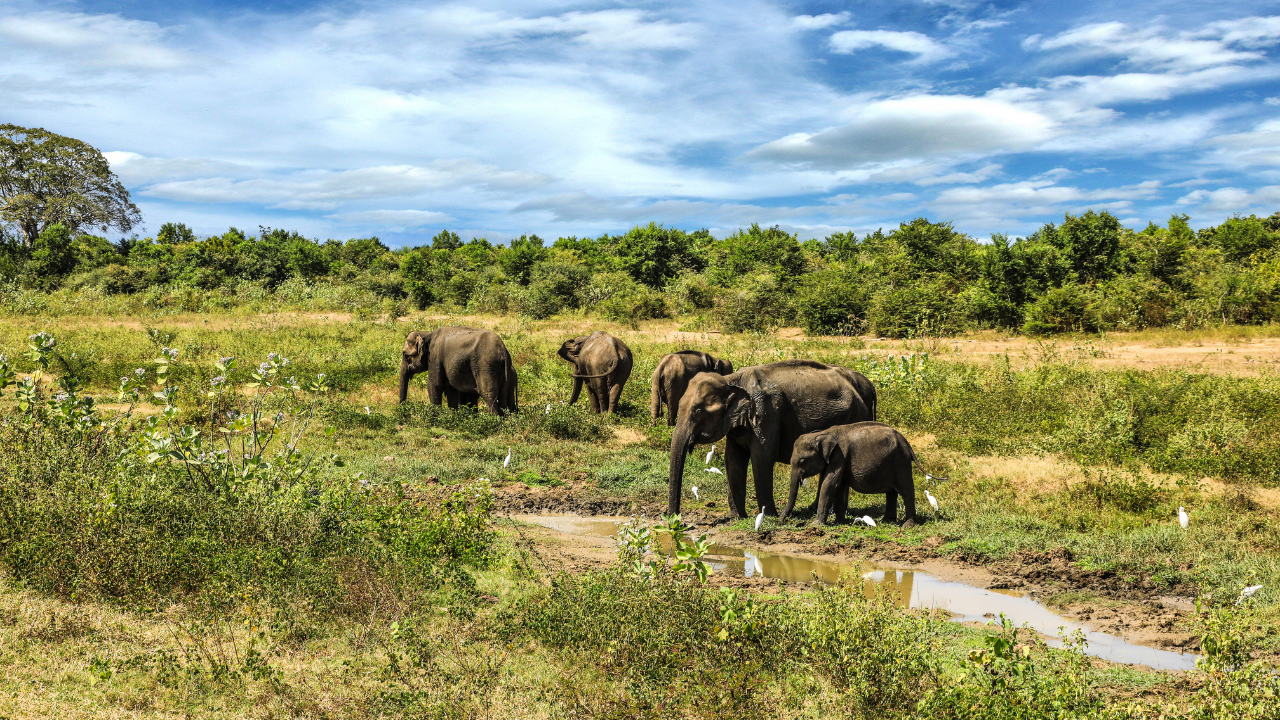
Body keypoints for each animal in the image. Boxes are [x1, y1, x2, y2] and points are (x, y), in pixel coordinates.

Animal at [667, 360, 877, 518]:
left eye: (698, 411)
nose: (675, 518)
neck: (731, 380)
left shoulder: (766, 413)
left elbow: (762, 457)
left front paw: (768, 517)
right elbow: (733, 460)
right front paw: (737, 517)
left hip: (854, 417)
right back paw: (815, 510)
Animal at [781, 422, 919, 528]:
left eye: (802, 461)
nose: (784, 521)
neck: (822, 434)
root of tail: (907, 444)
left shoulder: (839, 456)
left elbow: (829, 484)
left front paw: (815, 525)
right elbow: (839, 486)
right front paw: (839, 522)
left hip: (901, 461)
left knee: (906, 490)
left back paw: (907, 525)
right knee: (891, 492)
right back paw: (886, 521)